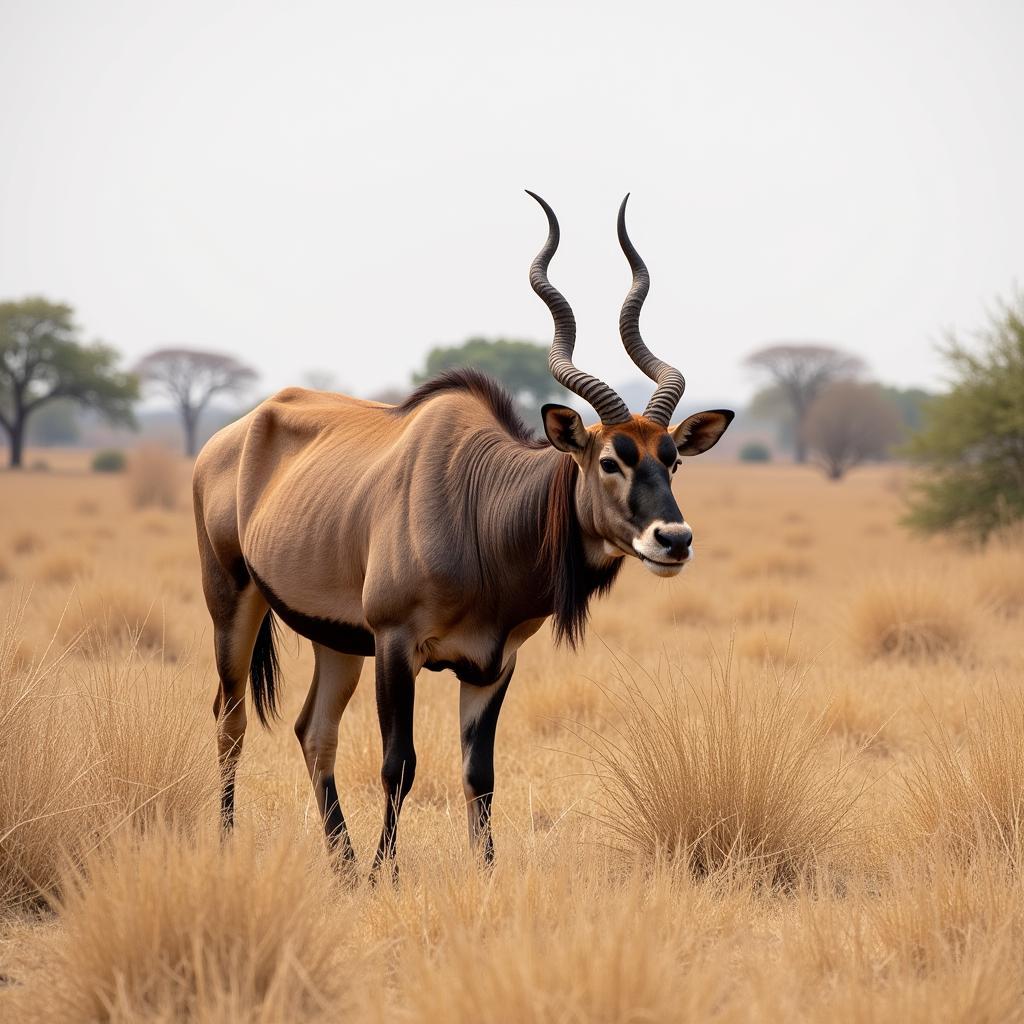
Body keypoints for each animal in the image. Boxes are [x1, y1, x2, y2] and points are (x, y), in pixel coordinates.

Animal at [192, 195, 733, 876]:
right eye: (611, 459)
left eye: (674, 459)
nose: (674, 539)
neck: (481, 507)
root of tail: (238, 432)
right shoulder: (397, 645)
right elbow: (399, 765)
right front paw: (386, 875)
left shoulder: (492, 665)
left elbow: (481, 775)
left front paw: (483, 871)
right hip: (233, 604)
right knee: (230, 719)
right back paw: (232, 842)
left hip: (336, 641)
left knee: (313, 730)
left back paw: (342, 864)